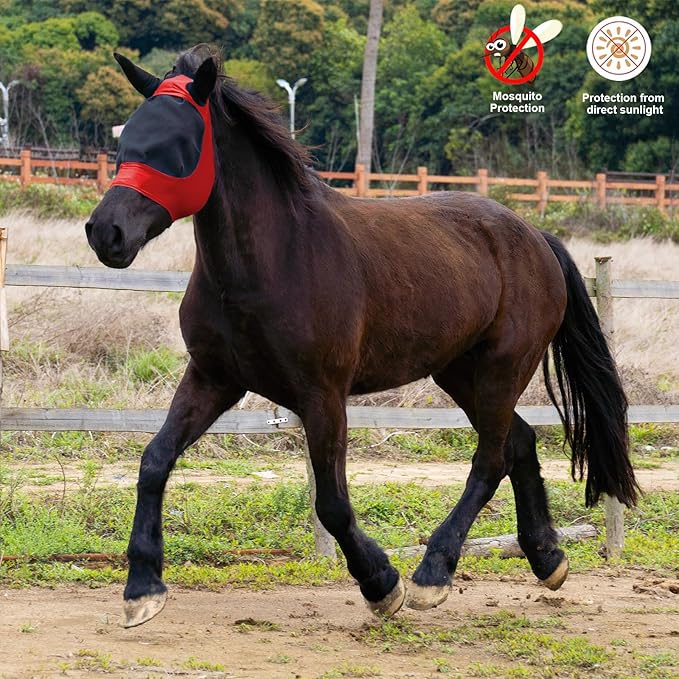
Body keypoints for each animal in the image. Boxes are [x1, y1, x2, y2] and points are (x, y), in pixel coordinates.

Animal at [85, 44, 638, 628]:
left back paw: (432, 574)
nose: (106, 232)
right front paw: (142, 587)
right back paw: (547, 559)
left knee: (490, 460)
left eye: (179, 144)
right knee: (519, 444)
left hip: (502, 369)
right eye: (126, 140)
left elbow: (331, 503)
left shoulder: (322, 396)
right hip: (461, 374)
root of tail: (535, 236)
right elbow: (154, 461)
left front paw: (381, 583)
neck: (274, 261)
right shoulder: (214, 379)